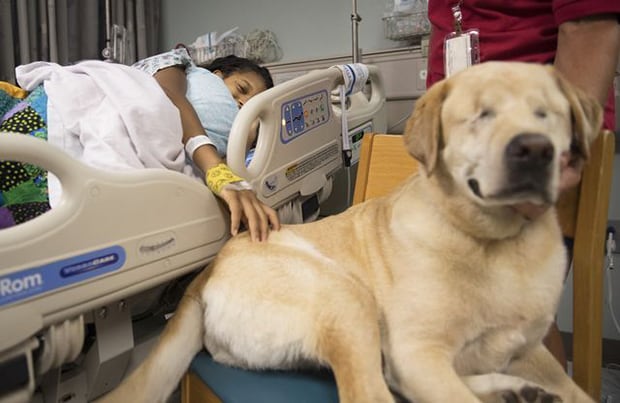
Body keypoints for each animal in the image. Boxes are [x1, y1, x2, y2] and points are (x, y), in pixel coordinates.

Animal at [101, 60, 600, 403]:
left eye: (548, 114)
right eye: (480, 115)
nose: (533, 150)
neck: (498, 242)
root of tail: (208, 271)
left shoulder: (531, 348)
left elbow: (569, 385)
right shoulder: (417, 354)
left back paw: (513, 388)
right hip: (346, 295)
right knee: (376, 390)